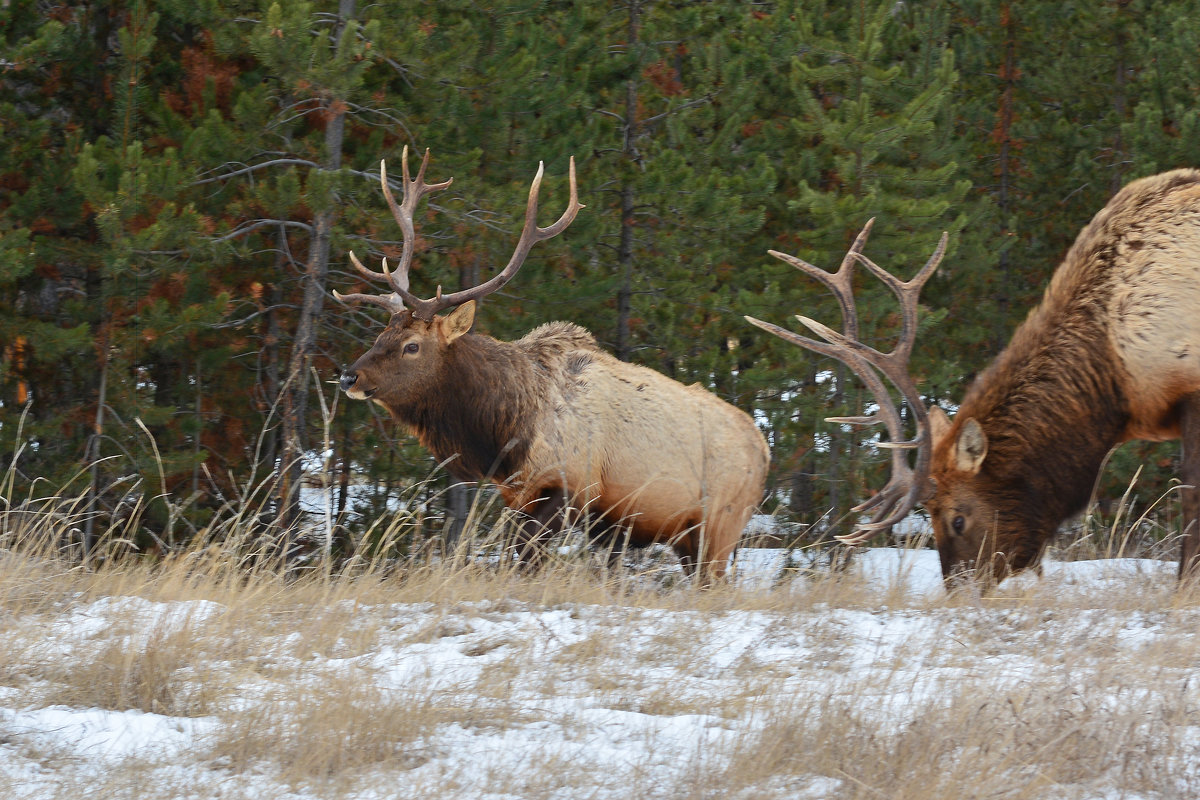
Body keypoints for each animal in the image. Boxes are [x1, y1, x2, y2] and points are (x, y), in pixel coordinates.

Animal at [338, 148, 768, 582]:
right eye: (380, 336)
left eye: (411, 346)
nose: (348, 376)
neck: (505, 433)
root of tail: (764, 448)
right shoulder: (518, 495)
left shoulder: (569, 485)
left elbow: (525, 561)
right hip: (687, 537)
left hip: (722, 523)